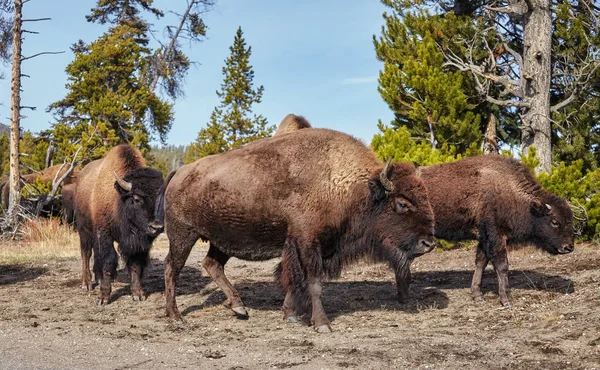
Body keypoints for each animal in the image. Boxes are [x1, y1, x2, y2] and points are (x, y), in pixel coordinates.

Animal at [75, 144, 164, 304]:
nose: (156, 227)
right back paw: (86, 283)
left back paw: (99, 278)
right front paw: (103, 298)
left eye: (161, 198)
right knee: (86, 253)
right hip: (84, 229)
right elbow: (108, 261)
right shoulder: (104, 233)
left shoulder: (137, 243)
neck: (119, 199)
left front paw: (138, 294)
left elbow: (135, 265)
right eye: (136, 199)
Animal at [154, 128, 436, 332]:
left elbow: (295, 280)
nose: (428, 243)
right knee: (171, 268)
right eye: (402, 203)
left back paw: (239, 308)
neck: (346, 185)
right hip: (182, 236)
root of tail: (179, 171)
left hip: (221, 241)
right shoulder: (308, 242)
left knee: (212, 264)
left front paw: (290, 315)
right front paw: (322, 324)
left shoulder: (309, 245)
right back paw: (176, 317)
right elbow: (313, 282)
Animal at [414, 155, 576, 308]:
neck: (509, 189)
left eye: (570, 219)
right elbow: (502, 266)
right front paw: (506, 299)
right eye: (555, 221)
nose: (568, 247)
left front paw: (477, 295)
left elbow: (481, 262)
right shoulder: (496, 236)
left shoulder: (484, 238)